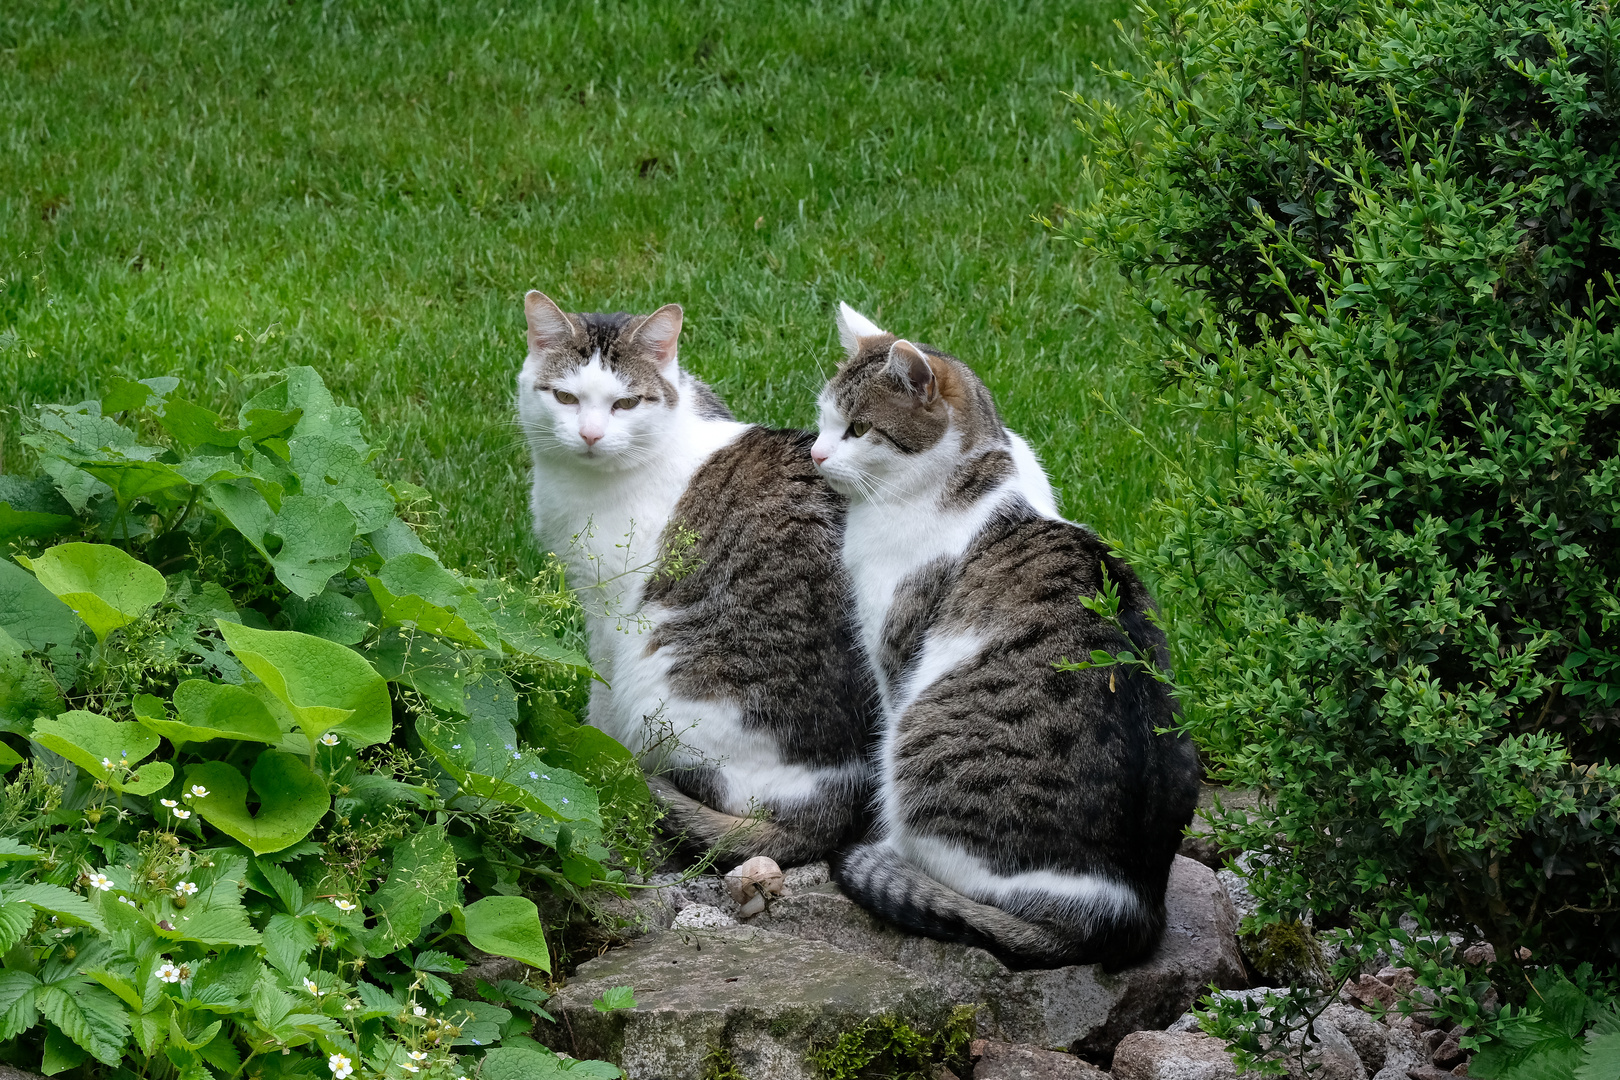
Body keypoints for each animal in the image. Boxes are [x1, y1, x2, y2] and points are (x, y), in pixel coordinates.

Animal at [518, 291, 874, 867]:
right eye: (566, 398)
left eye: (626, 404)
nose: (591, 434)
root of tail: (835, 808)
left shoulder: (607, 608)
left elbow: (600, 699)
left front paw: (592, 754)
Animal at [810, 304, 1205, 971]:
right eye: (822, 418)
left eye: (858, 428)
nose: (813, 454)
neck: (977, 468)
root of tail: (1120, 910)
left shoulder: (896, 656)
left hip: (916, 744)